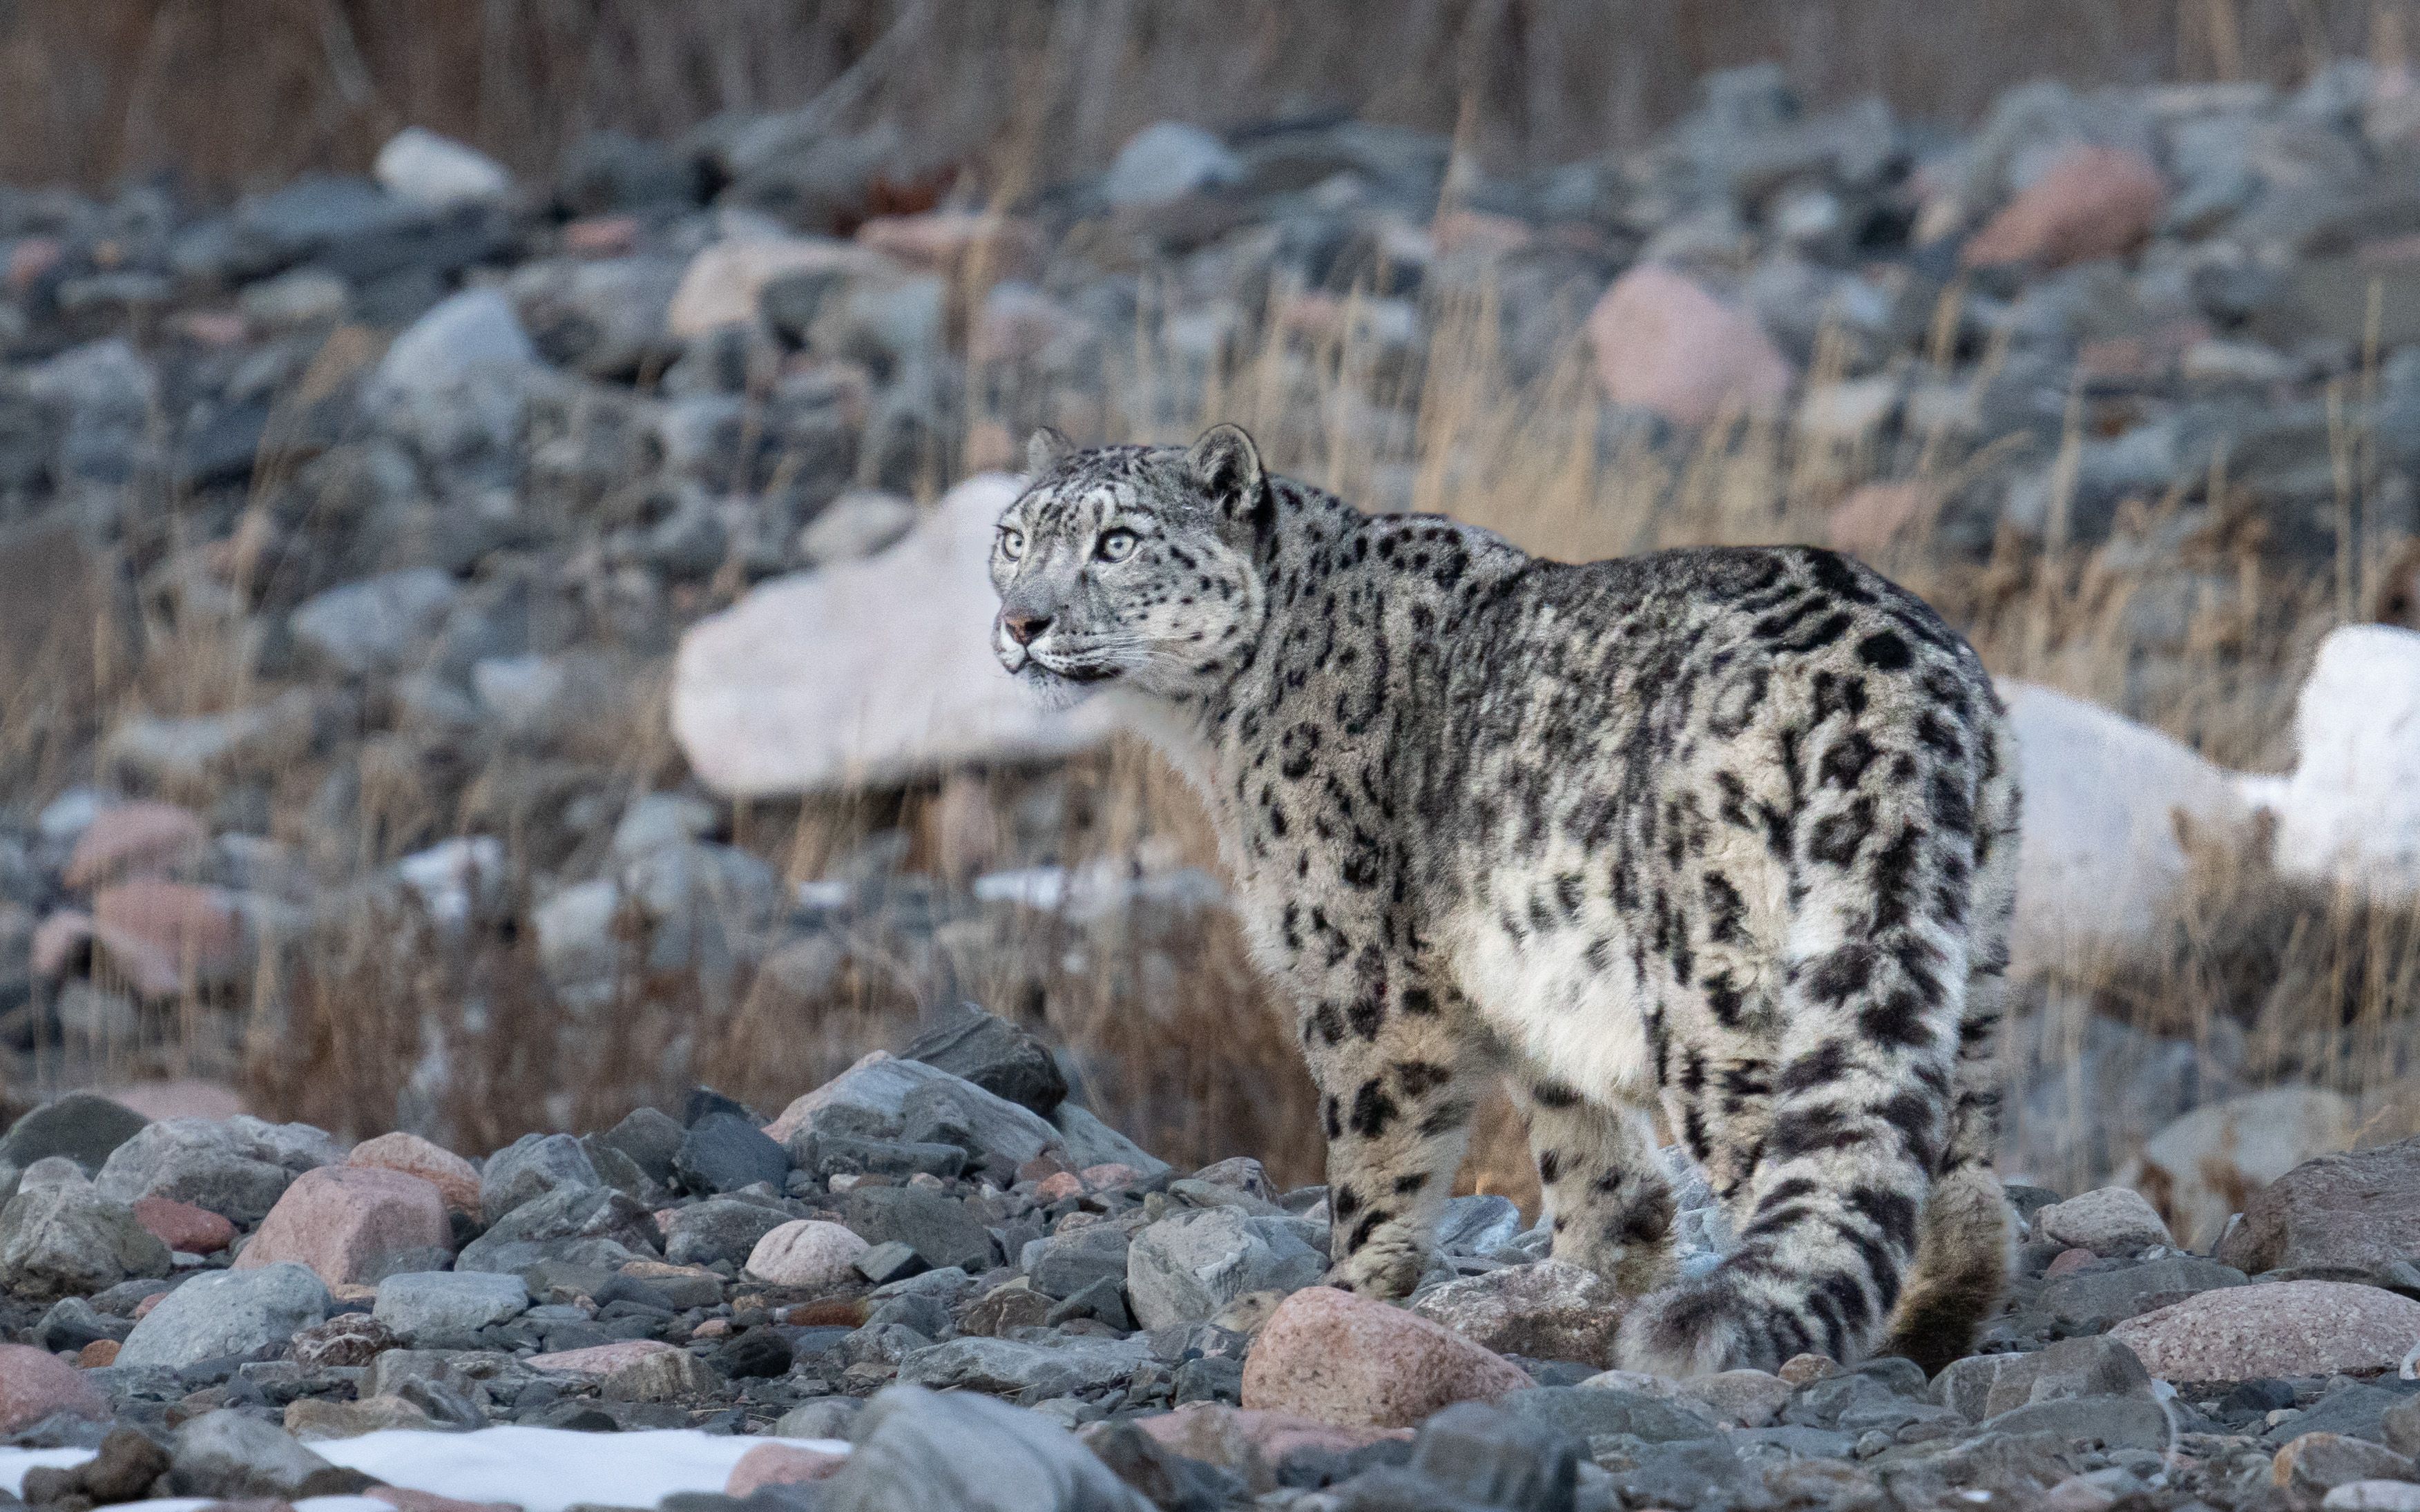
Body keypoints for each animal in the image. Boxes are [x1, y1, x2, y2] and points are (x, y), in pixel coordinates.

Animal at [987, 423, 2021, 1377]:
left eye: (1118, 540)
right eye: (1013, 538)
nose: (1022, 623)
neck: (1214, 728)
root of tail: (1894, 681)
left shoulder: (1363, 974)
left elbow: (1373, 1158)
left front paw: (1327, 1298)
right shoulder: (1529, 978)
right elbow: (1592, 1159)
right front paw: (1585, 1283)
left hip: (1720, 985)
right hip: (1961, 958)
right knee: (1952, 1170)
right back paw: (1936, 1327)